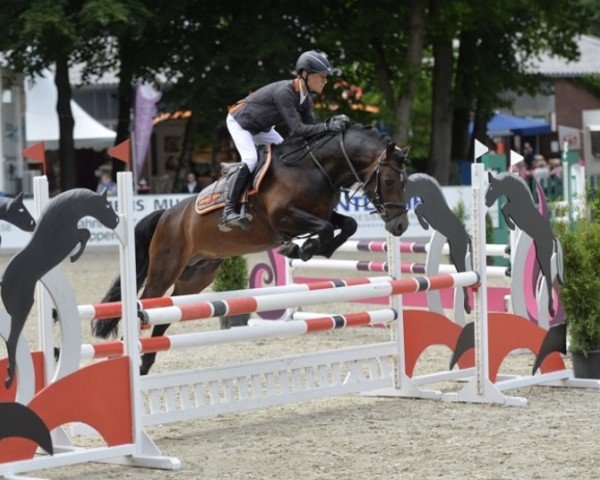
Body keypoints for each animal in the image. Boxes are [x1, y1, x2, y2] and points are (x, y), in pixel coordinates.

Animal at [2, 189, 119, 388]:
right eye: (106, 205)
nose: (117, 220)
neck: (64, 215)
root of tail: (4, 282)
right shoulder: (70, 237)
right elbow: (85, 233)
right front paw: (74, 257)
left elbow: (85, 233)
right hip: (23, 308)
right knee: (11, 341)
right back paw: (10, 380)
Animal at [95, 124, 412, 376]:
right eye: (387, 181)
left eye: (406, 181)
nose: (399, 225)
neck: (317, 168)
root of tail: (167, 214)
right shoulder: (283, 218)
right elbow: (323, 228)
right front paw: (299, 248)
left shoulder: (322, 213)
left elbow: (348, 224)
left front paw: (308, 249)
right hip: (165, 269)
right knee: (145, 306)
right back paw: (125, 358)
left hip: (195, 277)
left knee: (165, 316)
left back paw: (144, 364)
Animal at [486, 171, 564, 316]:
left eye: (492, 188)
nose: (486, 203)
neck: (518, 196)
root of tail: (552, 237)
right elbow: (504, 207)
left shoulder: (515, 210)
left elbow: (504, 207)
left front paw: (511, 226)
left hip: (543, 254)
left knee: (548, 277)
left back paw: (550, 309)